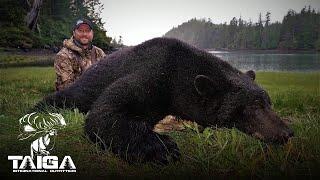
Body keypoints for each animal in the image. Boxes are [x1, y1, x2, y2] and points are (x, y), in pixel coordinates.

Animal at [33, 37, 294, 165]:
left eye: (269, 102)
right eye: (254, 106)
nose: (287, 132)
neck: (180, 73)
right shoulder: (153, 73)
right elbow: (106, 112)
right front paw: (162, 148)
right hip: (86, 82)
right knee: (71, 96)